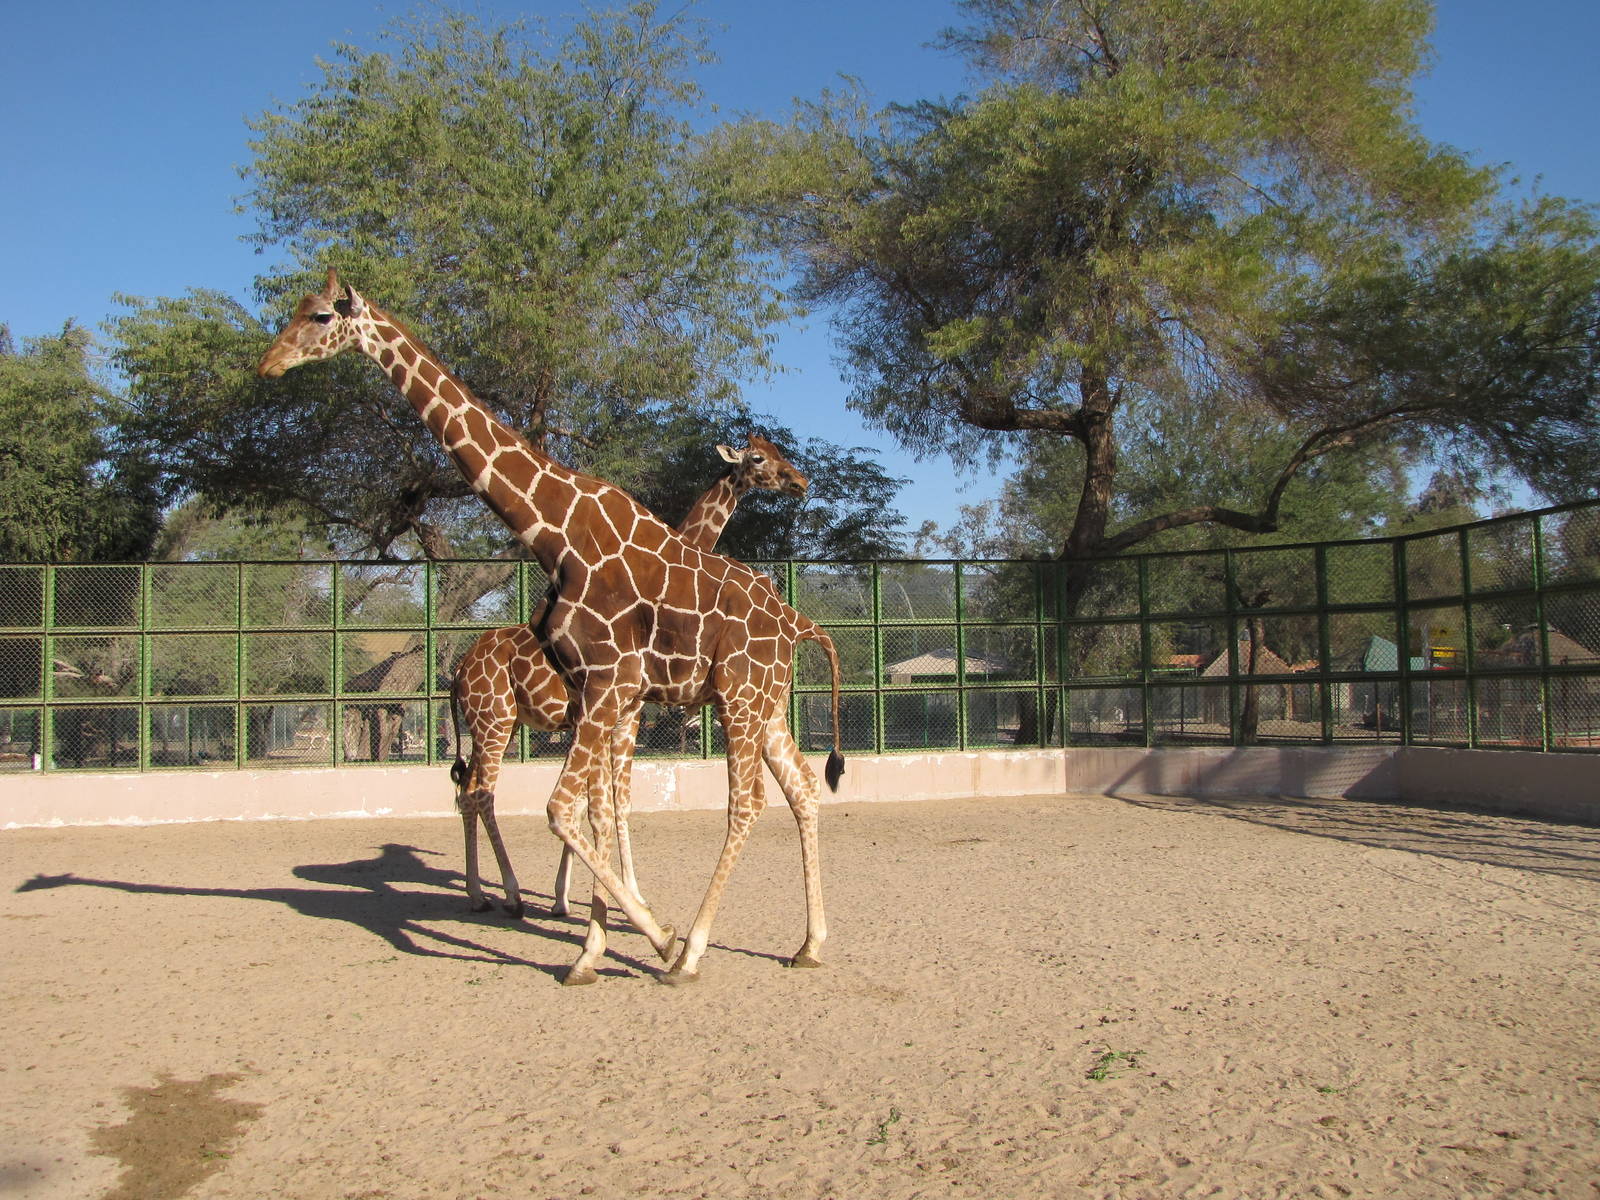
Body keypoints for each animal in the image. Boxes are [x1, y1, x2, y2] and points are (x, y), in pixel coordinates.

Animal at [447, 434, 829, 921]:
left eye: (780, 453)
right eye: (758, 458)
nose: (799, 481)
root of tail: (458, 671)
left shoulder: (611, 715)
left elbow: (605, 803)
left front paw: (579, 897)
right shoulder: (611, 713)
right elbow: (603, 805)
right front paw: (603, 899)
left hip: (500, 723)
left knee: (467, 791)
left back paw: (480, 893)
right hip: (492, 720)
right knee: (481, 793)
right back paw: (506, 894)